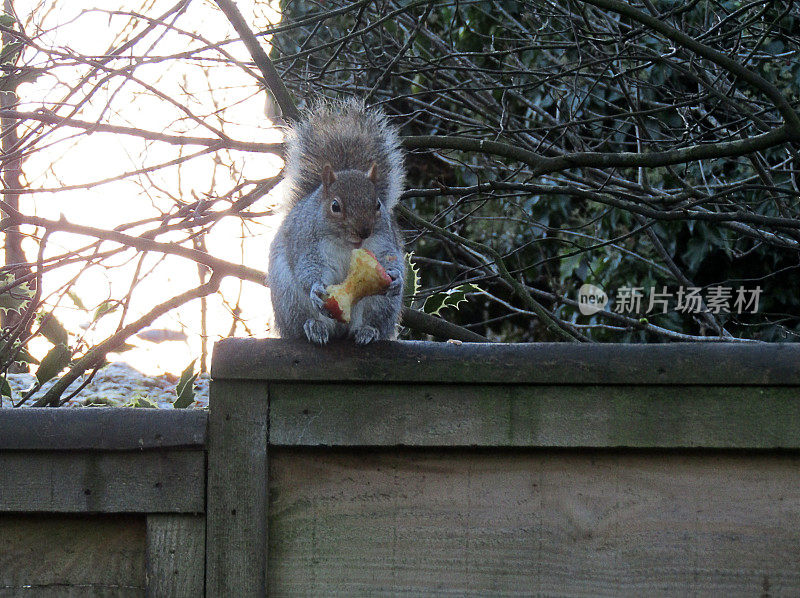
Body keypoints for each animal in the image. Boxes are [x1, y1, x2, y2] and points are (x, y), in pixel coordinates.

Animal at [268, 99, 406, 346]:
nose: (364, 231)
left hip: (382, 306)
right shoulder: (307, 243)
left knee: (372, 320)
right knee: (305, 320)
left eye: (377, 204)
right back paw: (314, 327)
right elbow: (308, 268)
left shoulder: (384, 242)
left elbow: (392, 258)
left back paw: (368, 331)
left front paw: (396, 277)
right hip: (289, 300)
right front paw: (315, 289)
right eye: (335, 207)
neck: (346, 245)